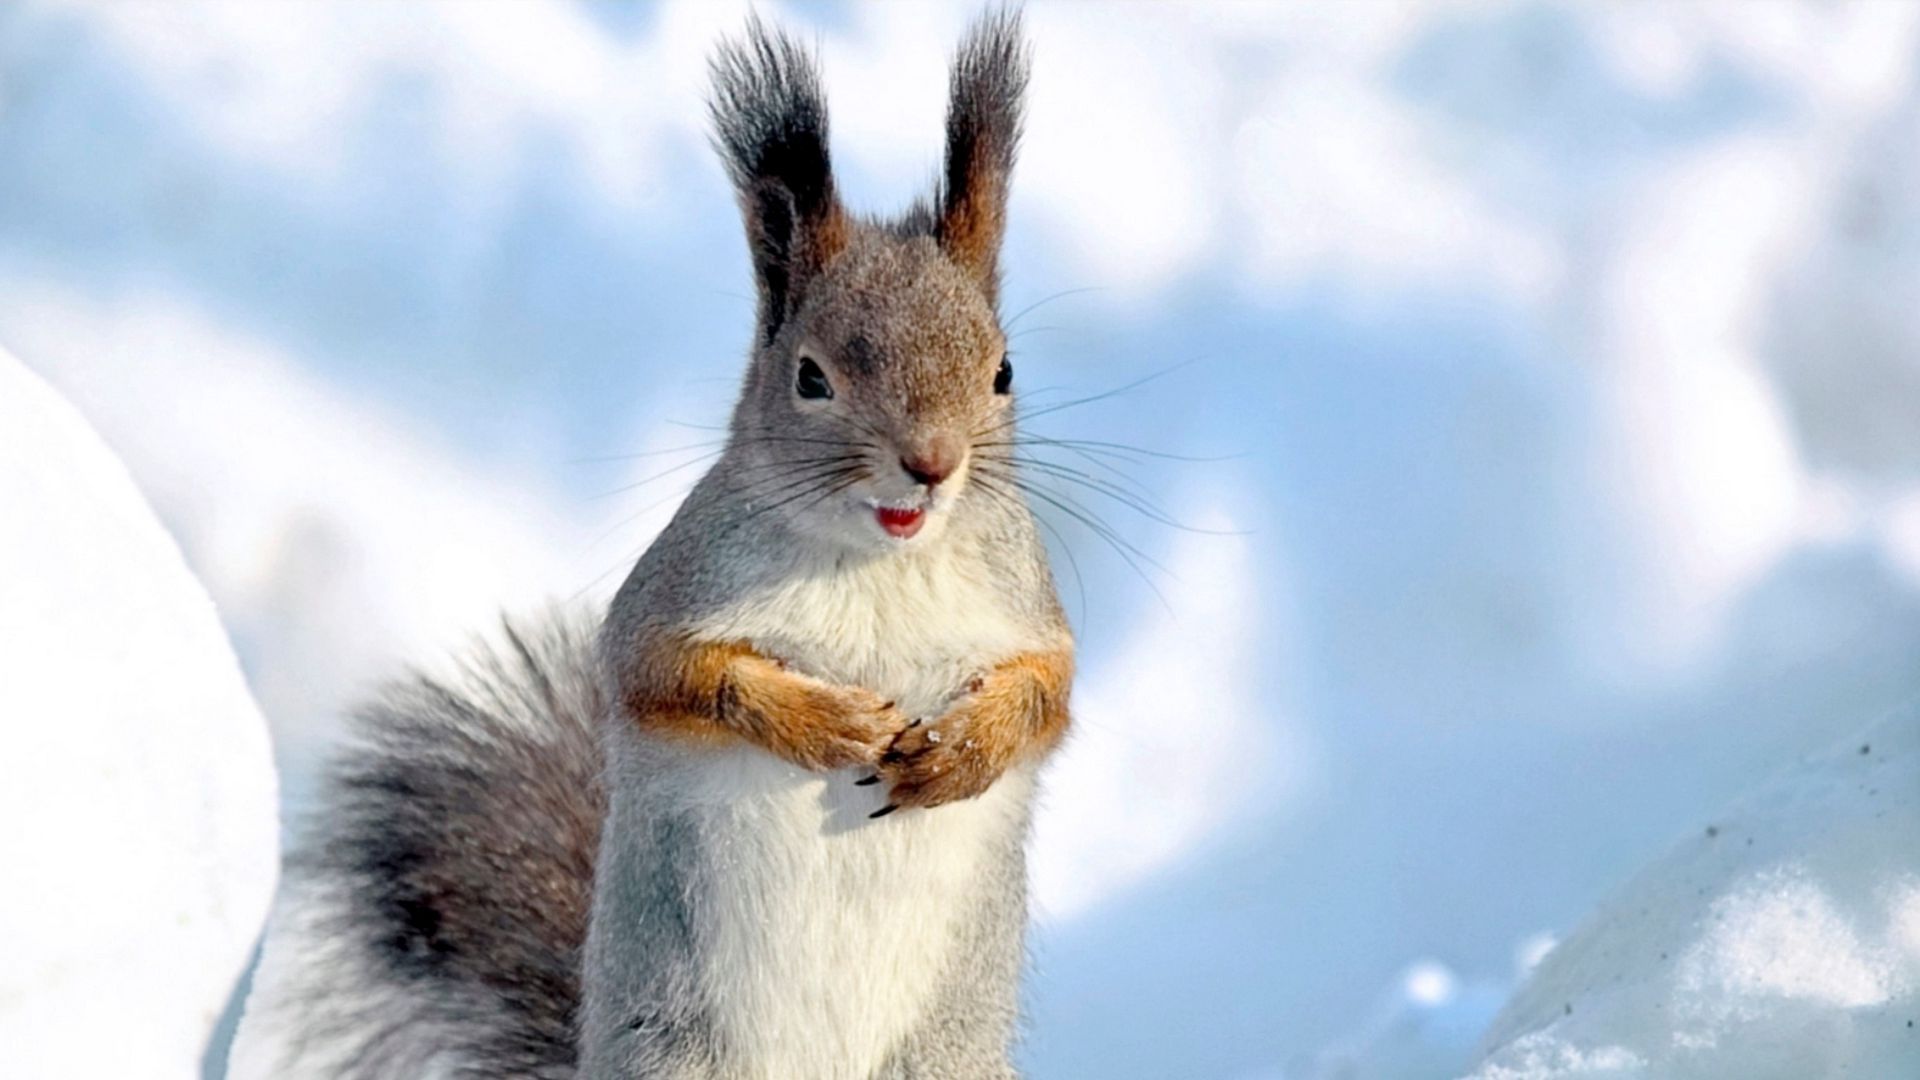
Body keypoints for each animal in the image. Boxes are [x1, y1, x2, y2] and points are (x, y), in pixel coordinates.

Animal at [230, 11, 1074, 1080]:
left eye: (1003, 371)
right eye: (810, 377)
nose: (930, 464)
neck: (882, 561)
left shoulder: (1026, 600)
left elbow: (1049, 694)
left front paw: (963, 751)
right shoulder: (668, 597)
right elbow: (670, 676)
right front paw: (824, 721)